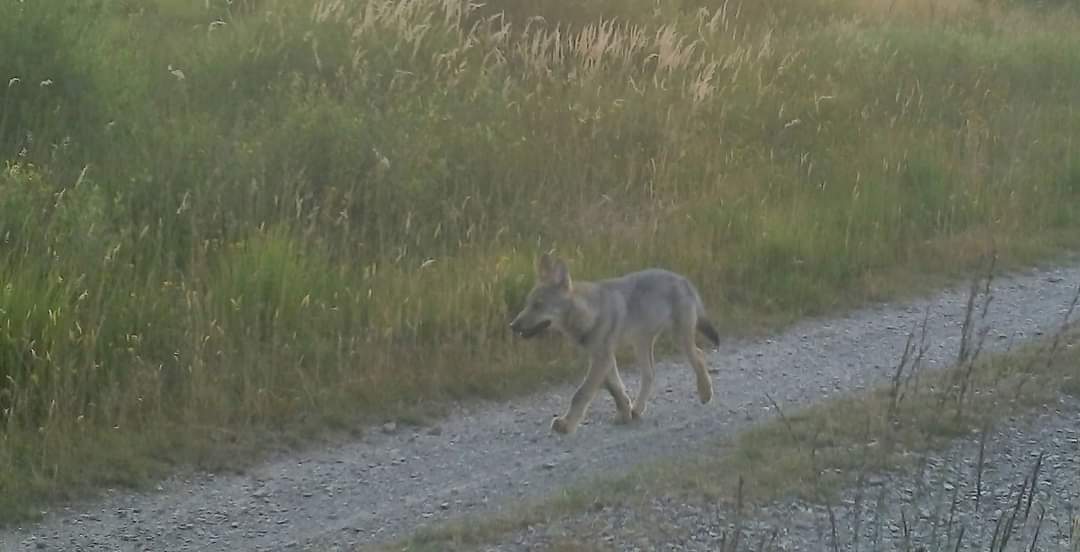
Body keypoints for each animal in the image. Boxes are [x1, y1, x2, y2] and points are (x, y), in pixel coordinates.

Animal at [510, 253, 720, 434]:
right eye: (527, 304)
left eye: (538, 305)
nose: (512, 325)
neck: (588, 314)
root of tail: (684, 279)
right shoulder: (603, 358)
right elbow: (615, 390)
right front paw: (625, 413)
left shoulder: (602, 358)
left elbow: (581, 394)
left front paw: (566, 425)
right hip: (641, 344)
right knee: (650, 374)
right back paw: (637, 409)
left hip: (679, 339)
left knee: (699, 355)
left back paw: (705, 393)